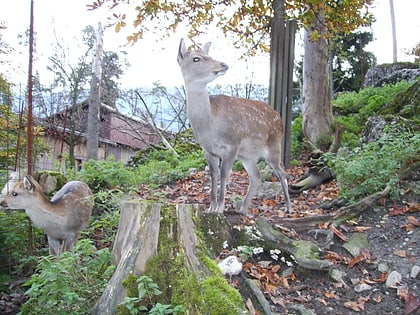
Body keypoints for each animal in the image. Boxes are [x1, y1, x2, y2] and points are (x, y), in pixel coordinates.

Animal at [177, 38, 292, 214]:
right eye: (196, 58)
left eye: (209, 54)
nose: (223, 65)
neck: (210, 126)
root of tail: (279, 117)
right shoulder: (208, 150)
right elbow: (213, 176)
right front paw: (211, 207)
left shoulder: (233, 144)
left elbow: (224, 174)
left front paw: (220, 208)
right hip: (248, 155)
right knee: (257, 176)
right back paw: (243, 209)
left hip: (273, 146)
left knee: (281, 171)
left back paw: (288, 207)